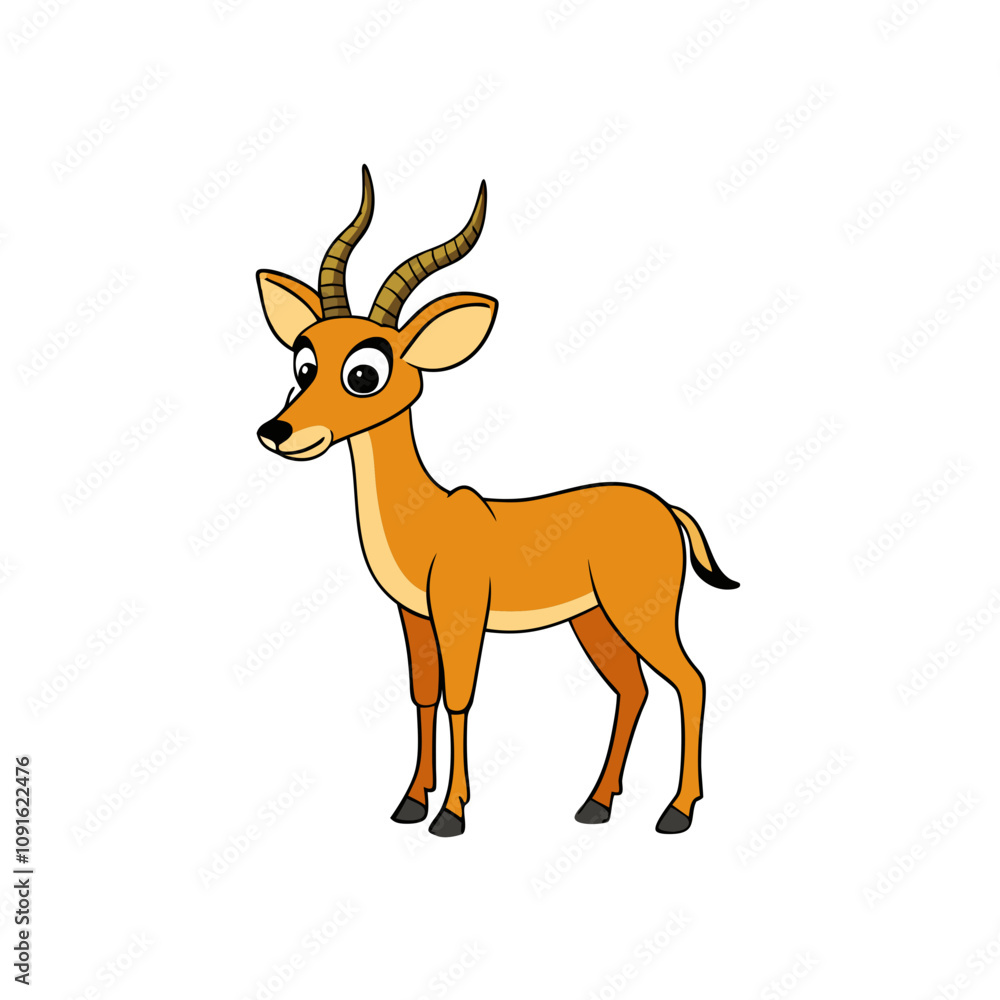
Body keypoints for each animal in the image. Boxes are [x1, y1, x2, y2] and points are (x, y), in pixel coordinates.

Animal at [256, 166, 739, 837]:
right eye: (303, 361)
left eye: (364, 373)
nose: (277, 432)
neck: (428, 518)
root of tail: (668, 509)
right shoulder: (415, 616)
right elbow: (423, 694)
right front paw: (410, 802)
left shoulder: (460, 613)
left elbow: (461, 697)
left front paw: (451, 815)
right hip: (593, 620)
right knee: (633, 689)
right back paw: (595, 804)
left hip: (642, 613)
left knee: (689, 681)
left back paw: (677, 812)